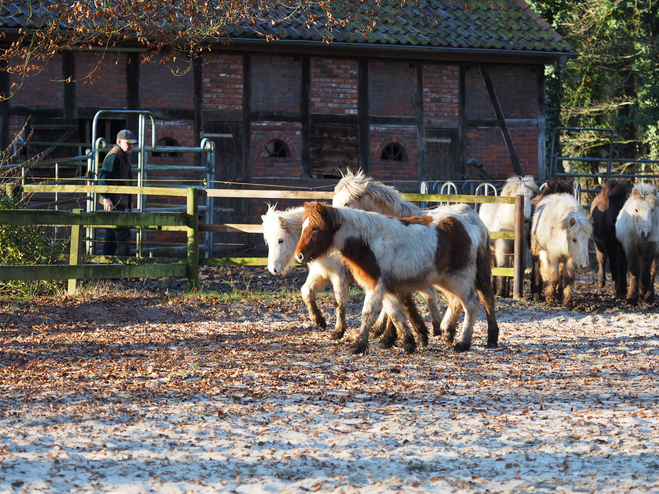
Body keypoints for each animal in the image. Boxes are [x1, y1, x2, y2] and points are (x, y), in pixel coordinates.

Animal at [296, 202, 500, 356]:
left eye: (315, 228)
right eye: (303, 227)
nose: (299, 256)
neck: (368, 241)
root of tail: (470, 216)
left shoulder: (376, 285)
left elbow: (368, 313)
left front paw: (358, 345)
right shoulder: (388, 287)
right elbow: (395, 313)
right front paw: (408, 343)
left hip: (460, 278)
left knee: (473, 303)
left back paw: (464, 342)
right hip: (447, 280)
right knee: (461, 301)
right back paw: (458, 334)